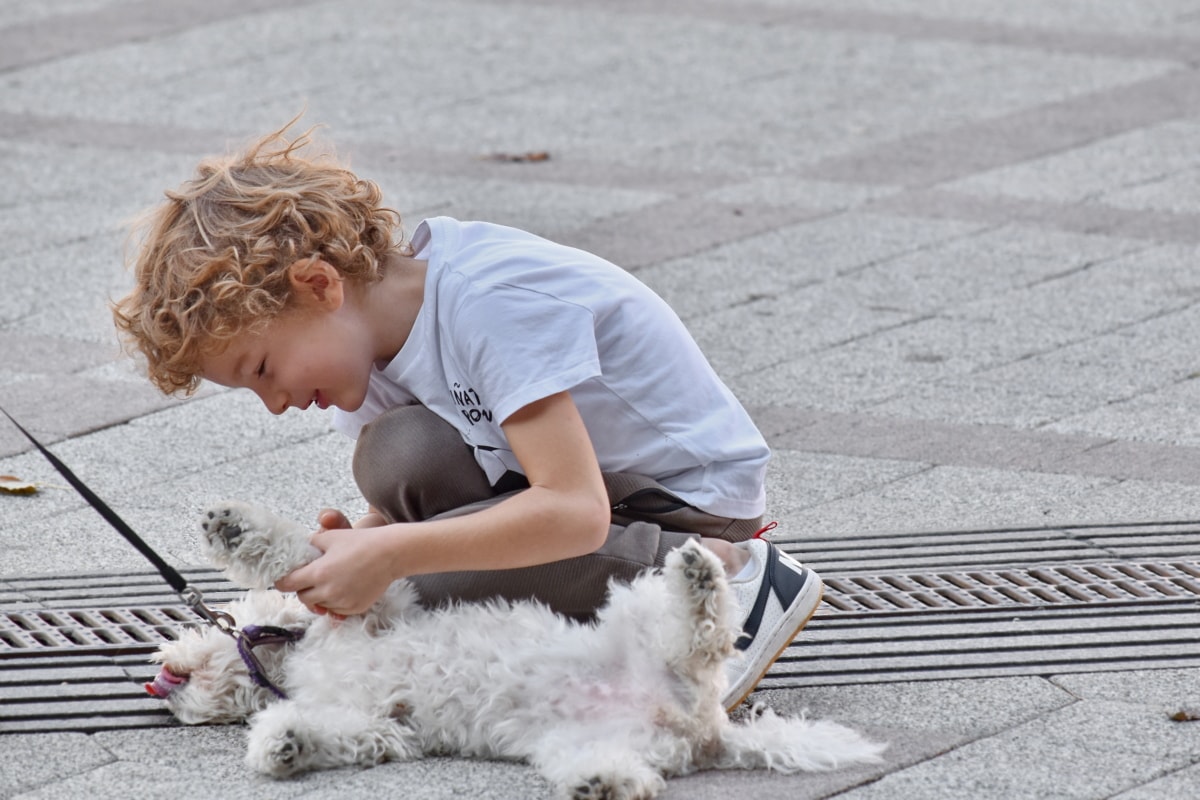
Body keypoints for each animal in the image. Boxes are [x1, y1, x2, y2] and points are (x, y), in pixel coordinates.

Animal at [147, 501, 883, 796]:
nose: (157, 687)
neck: (296, 655)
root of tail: (706, 728)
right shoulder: (384, 727)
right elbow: (348, 734)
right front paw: (285, 743)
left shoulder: (371, 607)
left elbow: (294, 555)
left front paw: (235, 530)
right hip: (583, 741)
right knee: (640, 771)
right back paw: (603, 784)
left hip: (640, 613)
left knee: (701, 639)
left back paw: (702, 580)